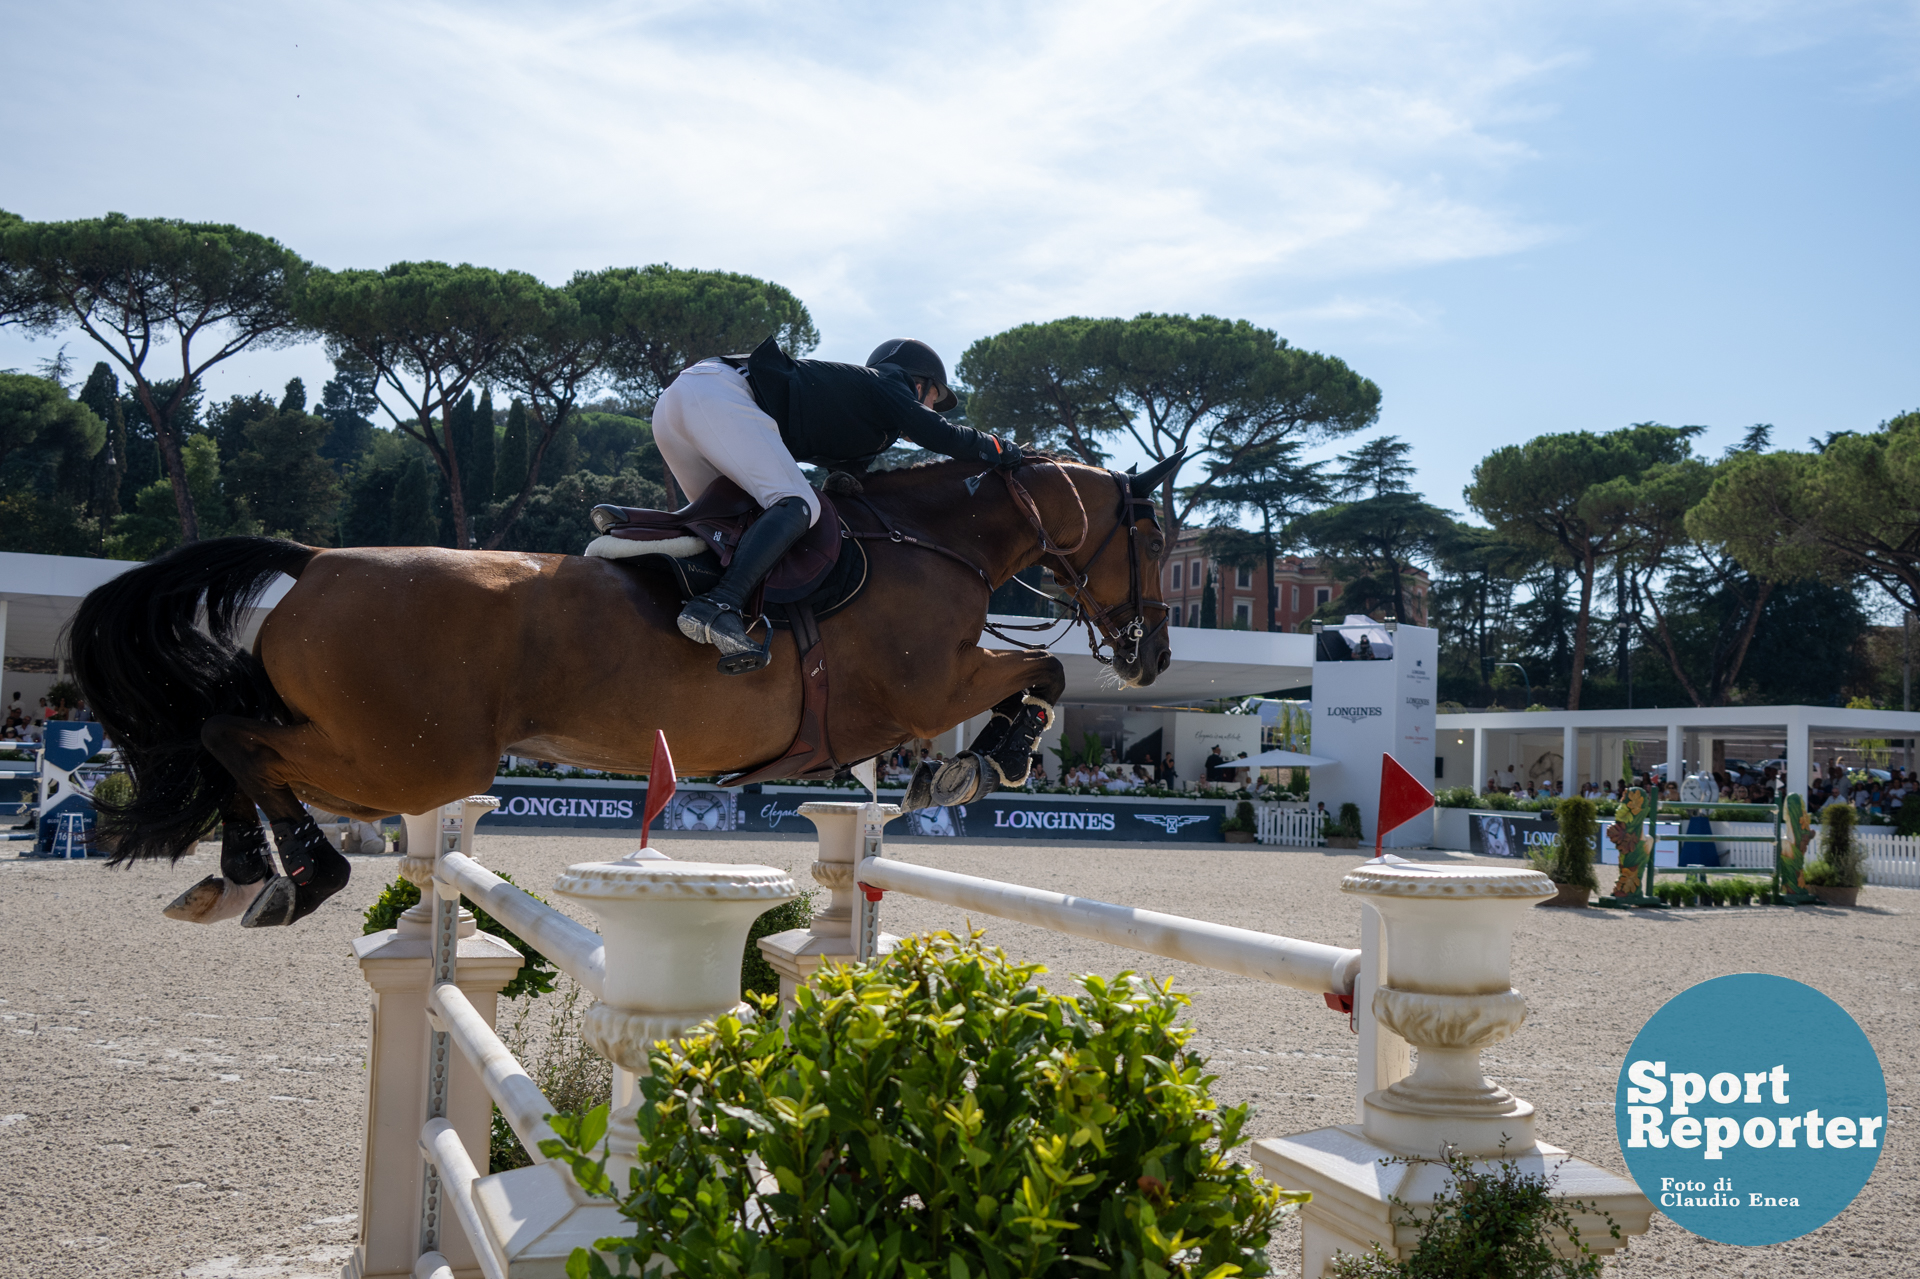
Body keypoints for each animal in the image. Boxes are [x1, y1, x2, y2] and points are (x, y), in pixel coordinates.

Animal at [67, 455, 1175, 925]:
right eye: (1158, 538)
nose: (1153, 657)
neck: (932, 536)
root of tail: (317, 561)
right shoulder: (926, 684)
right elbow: (1041, 669)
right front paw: (983, 764)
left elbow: (1036, 672)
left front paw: (963, 769)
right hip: (410, 758)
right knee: (233, 737)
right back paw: (301, 876)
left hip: (381, 753)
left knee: (227, 738)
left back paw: (236, 872)